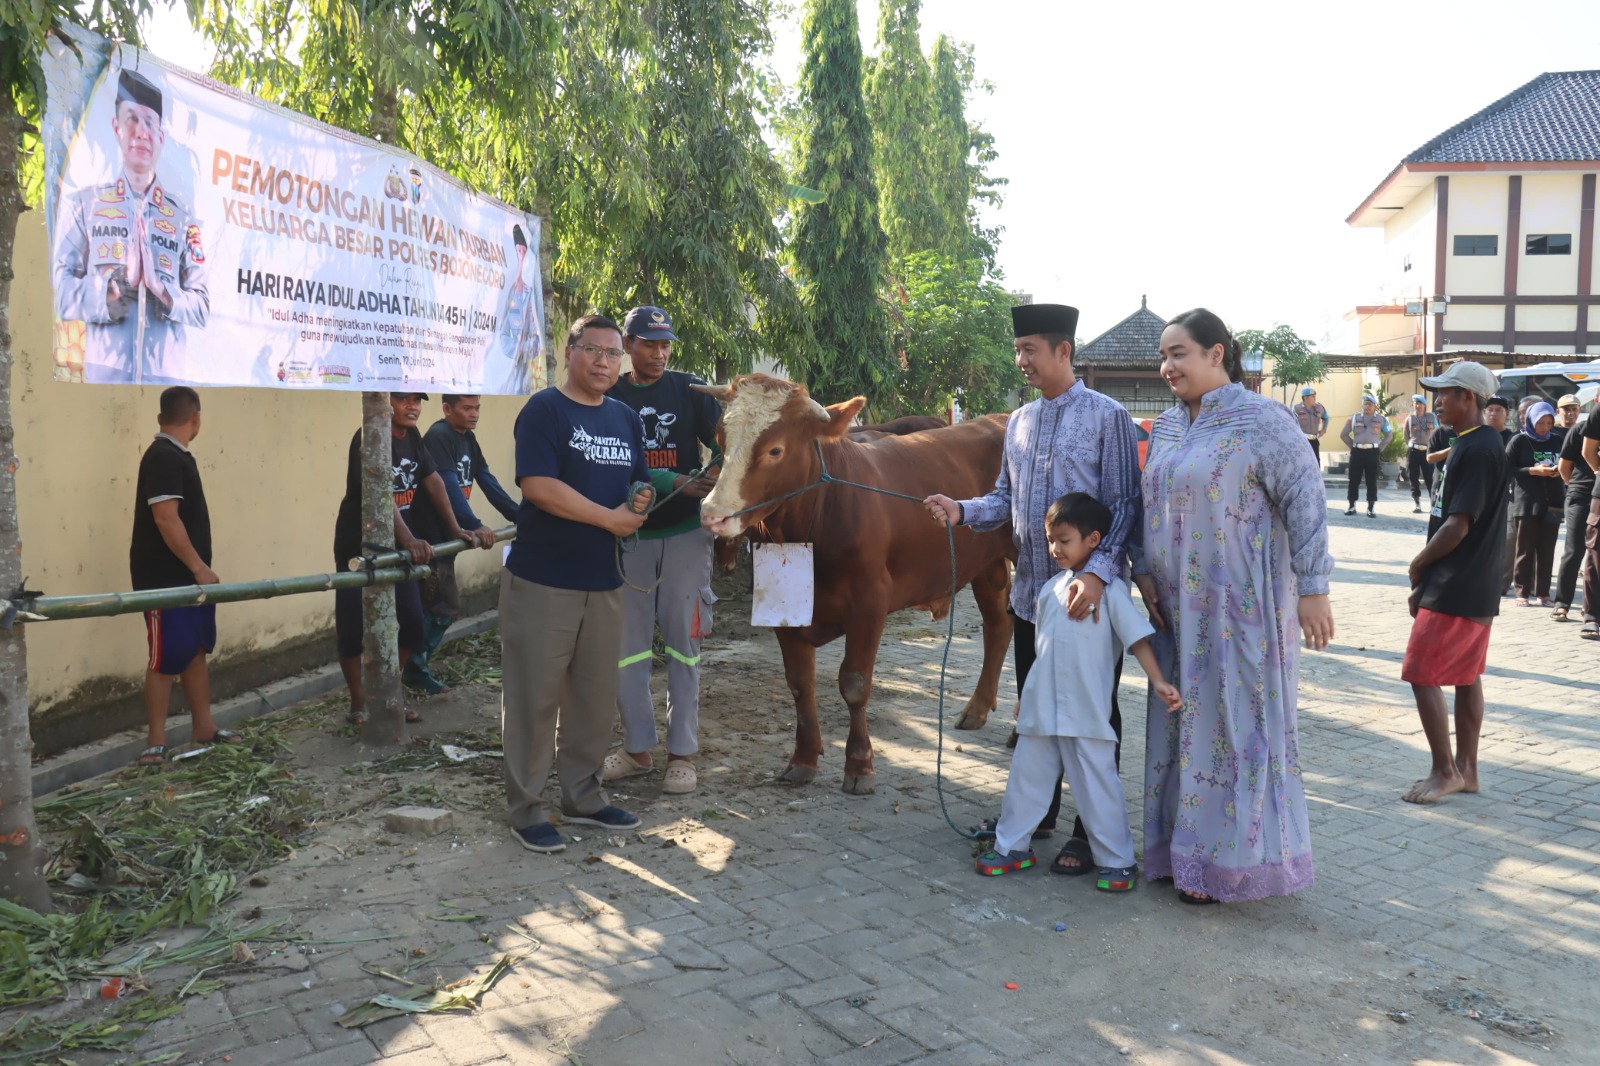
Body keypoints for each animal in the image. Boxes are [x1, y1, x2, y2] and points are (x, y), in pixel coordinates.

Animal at [697, 371, 1011, 787]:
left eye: (775, 450)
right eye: (721, 441)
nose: (712, 513)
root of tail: (1003, 418)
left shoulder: (870, 603)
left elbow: (855, 683)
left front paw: (860, 763)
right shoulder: (783, 607)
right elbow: (800, 682)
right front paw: (803, 758)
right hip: (987, 566)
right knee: (999, 626)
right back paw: (977, 708)